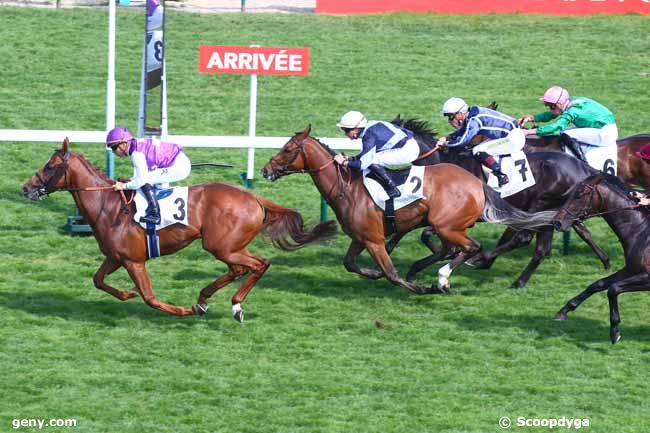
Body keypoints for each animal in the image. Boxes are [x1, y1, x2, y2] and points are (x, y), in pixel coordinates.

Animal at [21, 138, 334, 320]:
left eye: (49, 166)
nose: (25, 188)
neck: (107, 206)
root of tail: (253, 197)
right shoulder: (115, 257)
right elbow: (97, 280)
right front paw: (126, 295)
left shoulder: (133, 261)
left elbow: (150, 298)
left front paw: (181, 310)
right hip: (229, 246)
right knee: (244, 267)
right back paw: (209, 299)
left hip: (221, 245)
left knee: (256, 264)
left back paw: (229, 304)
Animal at [258, 125, 552, 294]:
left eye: (287, 150)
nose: (265, 170)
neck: (348, 188)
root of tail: (477, 182)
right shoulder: (360, 237)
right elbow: (350, 264)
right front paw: (373, 273)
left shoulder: (374, 239)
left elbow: (391, 274)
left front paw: (421, 287)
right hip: (449, 226)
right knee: (459, 248)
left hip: (447, 225)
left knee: (472, 247)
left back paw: (444, 279)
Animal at [388, 116, 612, 288]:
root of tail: (581, 166)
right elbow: (406, 230)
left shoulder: (456, 217)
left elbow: (427, 236)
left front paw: (447, 256)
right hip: (553, 212)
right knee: (548, 244)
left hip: (541, 205)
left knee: (525, 238)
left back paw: (484, 260)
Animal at [552, 174, 648, 342]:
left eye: (580, 194)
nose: (557, 222)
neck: (642, 233)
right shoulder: (631, 270)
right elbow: (598, 284)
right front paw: (564, 310)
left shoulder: (647, 277)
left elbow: (613, 289)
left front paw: (615, 330)